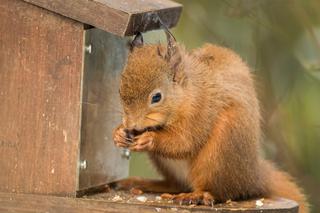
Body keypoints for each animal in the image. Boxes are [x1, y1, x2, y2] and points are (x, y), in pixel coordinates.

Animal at [111, 32, 308, 213]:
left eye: (157, 97)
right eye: (119, 91)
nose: (131, 125)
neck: (186, 94)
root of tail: (253, 176)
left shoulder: (200, 111)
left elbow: (184, 142)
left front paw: (149, 139)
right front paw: (119, 133)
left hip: (220, 153)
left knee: (222, 191)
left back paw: (198, 195)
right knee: (176, 184)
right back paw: (145, 183)